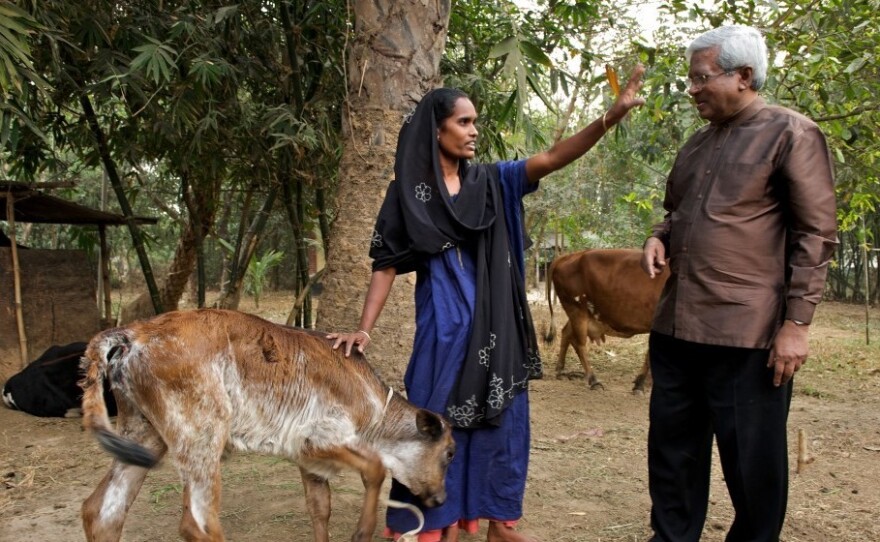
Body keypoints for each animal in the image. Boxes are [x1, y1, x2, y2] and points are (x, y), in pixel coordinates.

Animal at [79, 310, 458, 542]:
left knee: (102, 511)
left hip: (144, 434)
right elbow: (376, 469)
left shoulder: (310, 463)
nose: (441, 498)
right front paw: (362, 532)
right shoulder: (318, 440)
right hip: (201, 435)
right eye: (450, 453)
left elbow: (320, 510)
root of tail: (130, 334)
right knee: (196, 524)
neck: (373, 405)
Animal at [544, 250, 668, 396]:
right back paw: (593, 380)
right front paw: (640, 384)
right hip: (576, 309)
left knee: (566, 332)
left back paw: (561, 371)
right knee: (579, 344)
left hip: (582, 312)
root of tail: (569, 255)